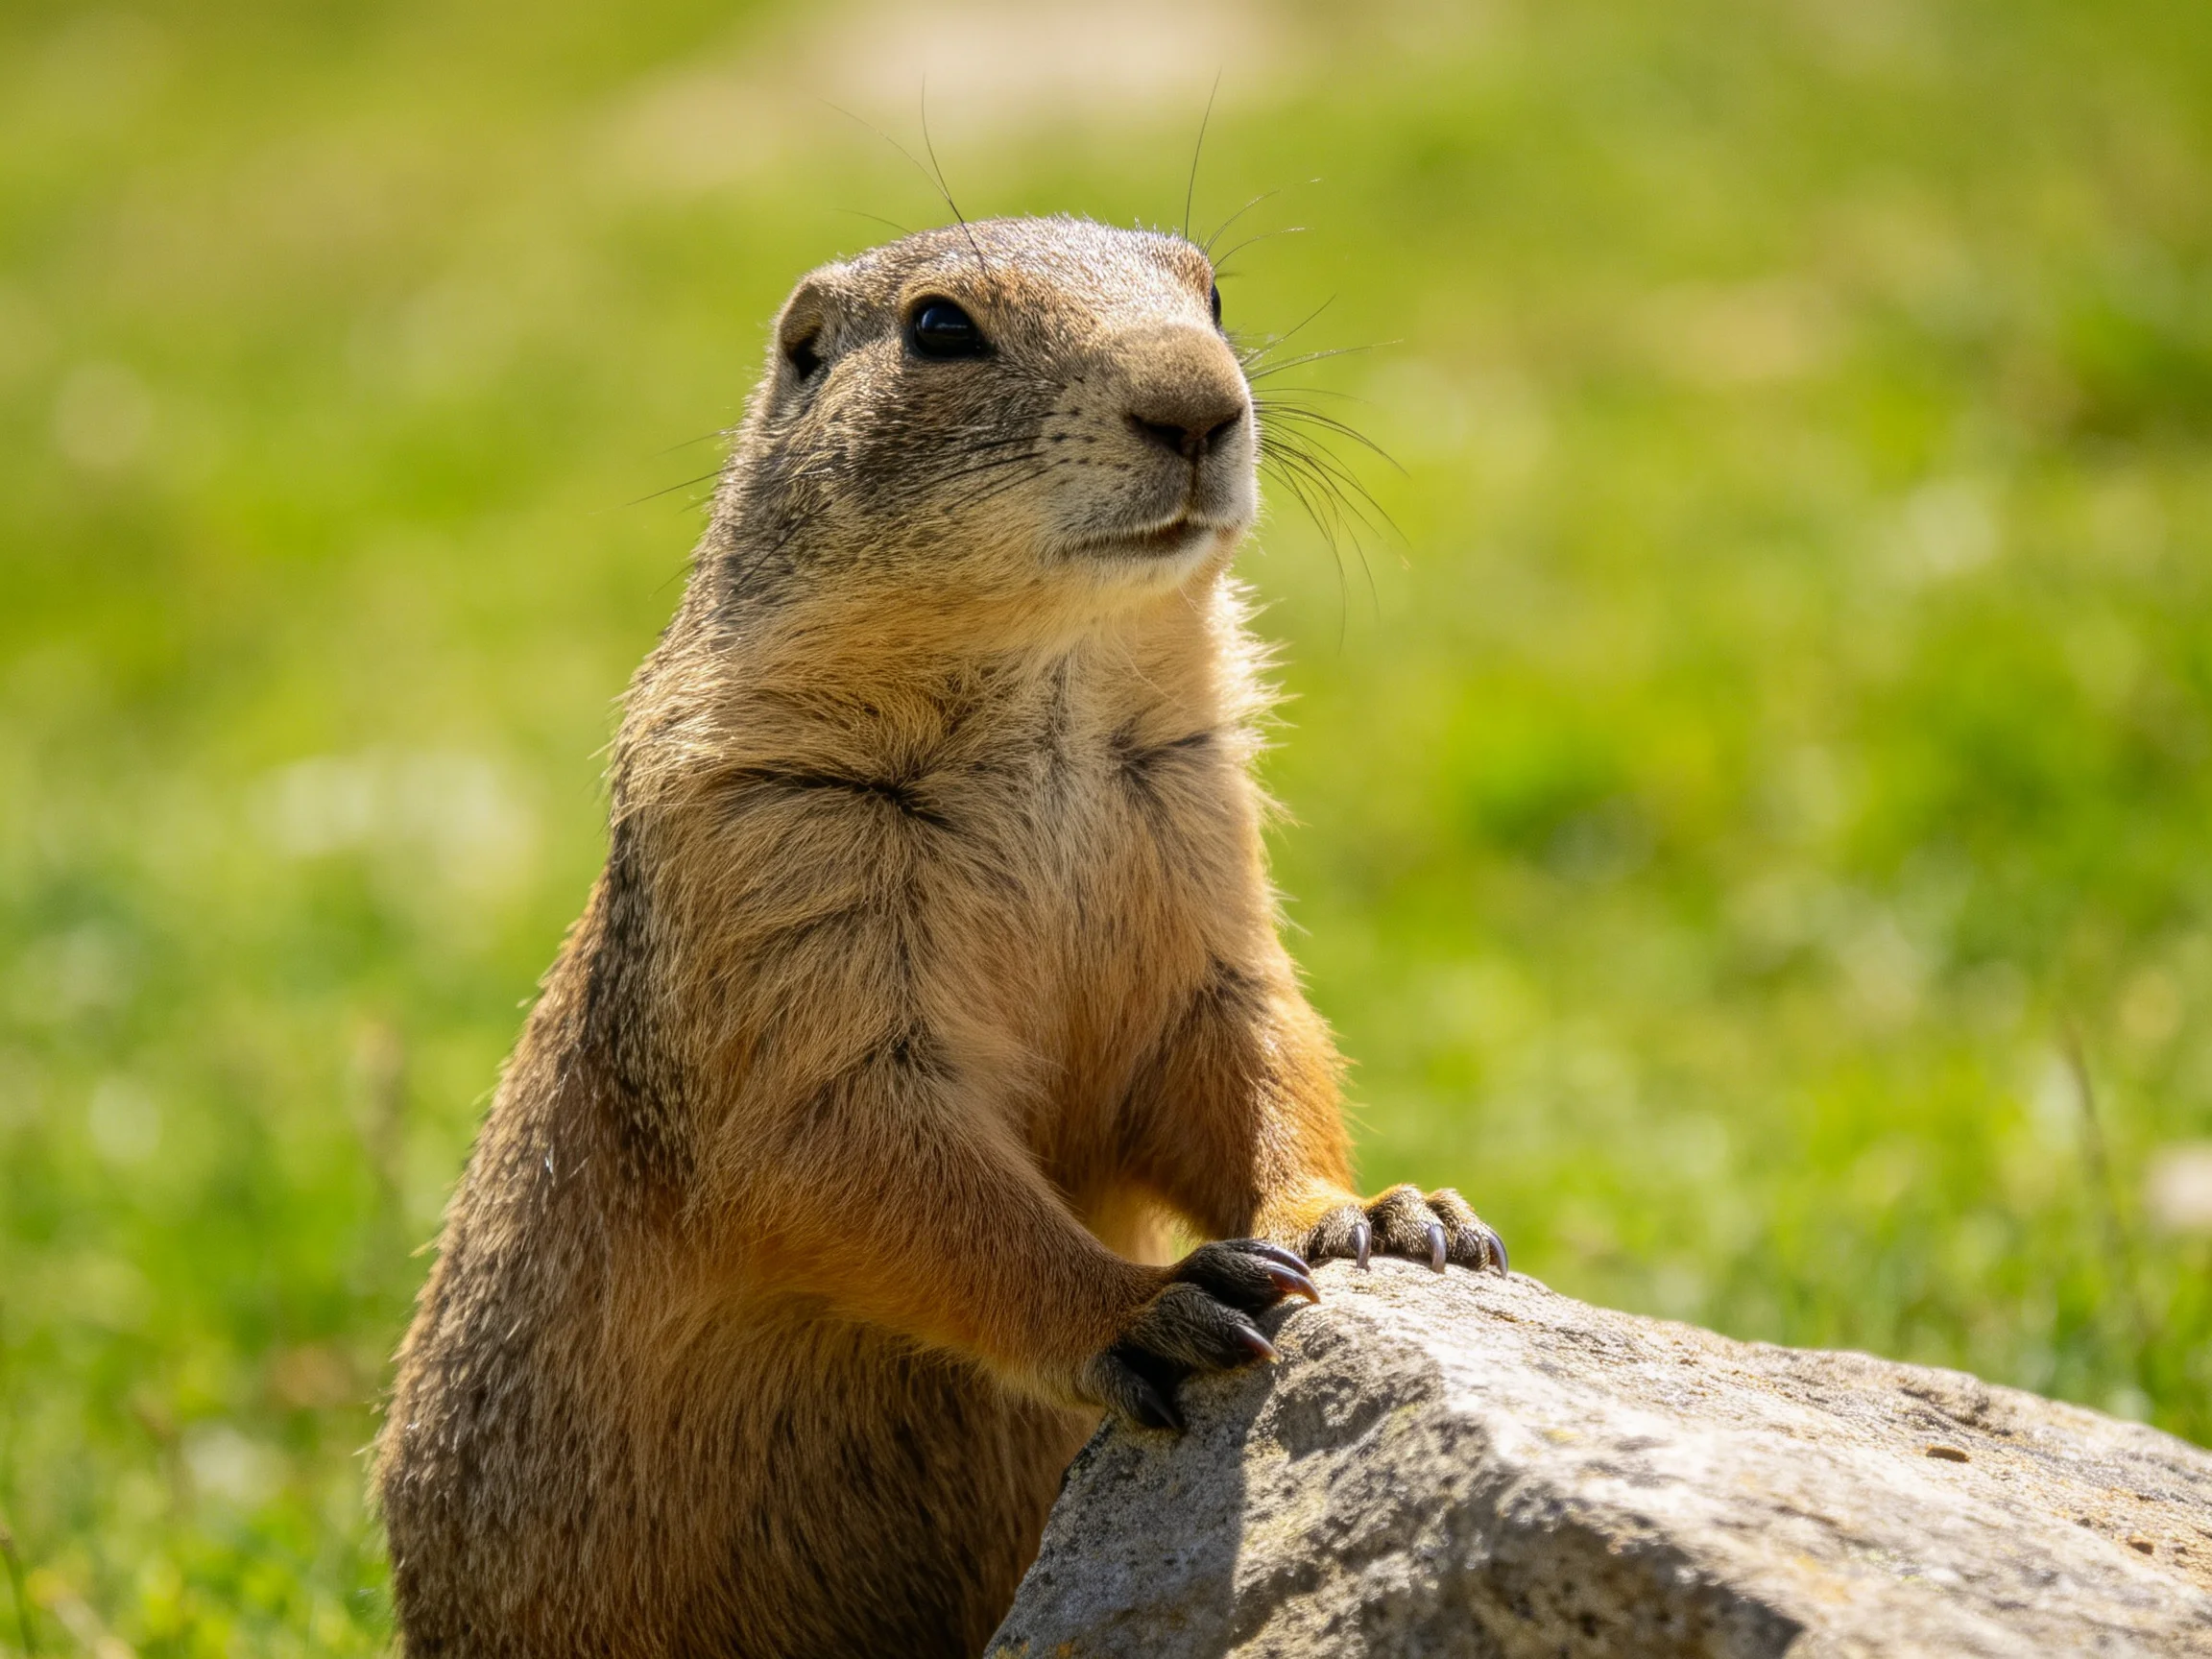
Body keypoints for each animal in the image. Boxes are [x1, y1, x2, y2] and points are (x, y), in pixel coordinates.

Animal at [374, 215, 1506, 1658]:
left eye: (1210, 292)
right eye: (938, 328)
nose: (1200, 400)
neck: (1047, 699)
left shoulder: (1196, 821)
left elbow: (1239, 1034)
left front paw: (1377, 1213)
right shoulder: (763, 848)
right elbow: (852, 1135)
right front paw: (1153, 1307)